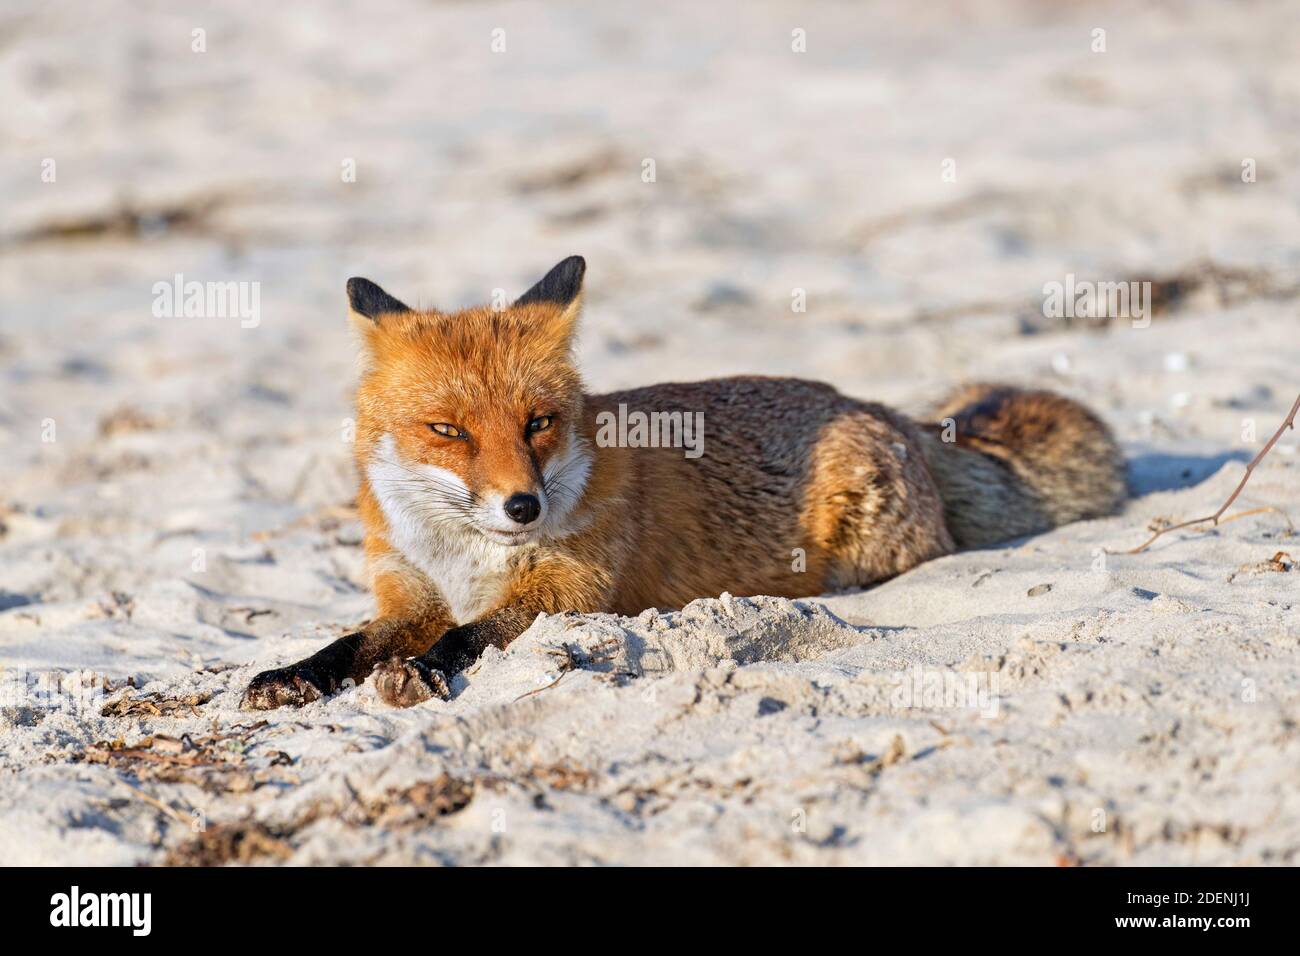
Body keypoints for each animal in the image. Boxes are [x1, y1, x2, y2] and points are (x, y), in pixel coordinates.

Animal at [245, 256, 1128, 712]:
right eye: (448, 432)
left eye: (537, 422)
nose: (523, 506)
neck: (465, 559)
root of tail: (882, 409)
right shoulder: (408, 592)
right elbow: (350, 642)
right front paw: (295, 674)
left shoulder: (570, 591)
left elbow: (471, 635)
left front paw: (425, 669)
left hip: (867, 549)